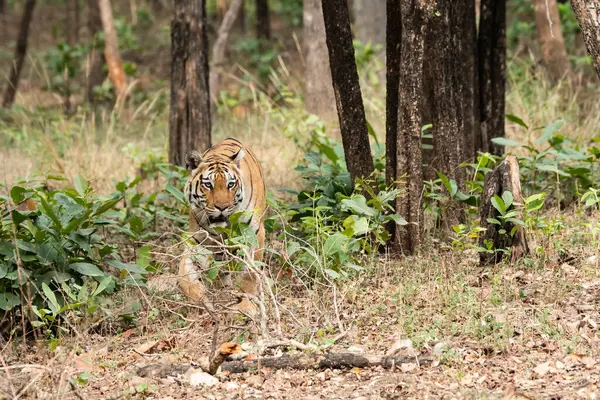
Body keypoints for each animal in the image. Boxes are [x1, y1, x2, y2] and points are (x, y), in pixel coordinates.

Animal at [176, 138, 264, 316]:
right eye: (208, 185)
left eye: (231, 184)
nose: (222, 207)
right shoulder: (196, 243)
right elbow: (185, 277)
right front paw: (203, 301)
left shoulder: (254, 234)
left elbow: (250, 274)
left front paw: (246, 305)